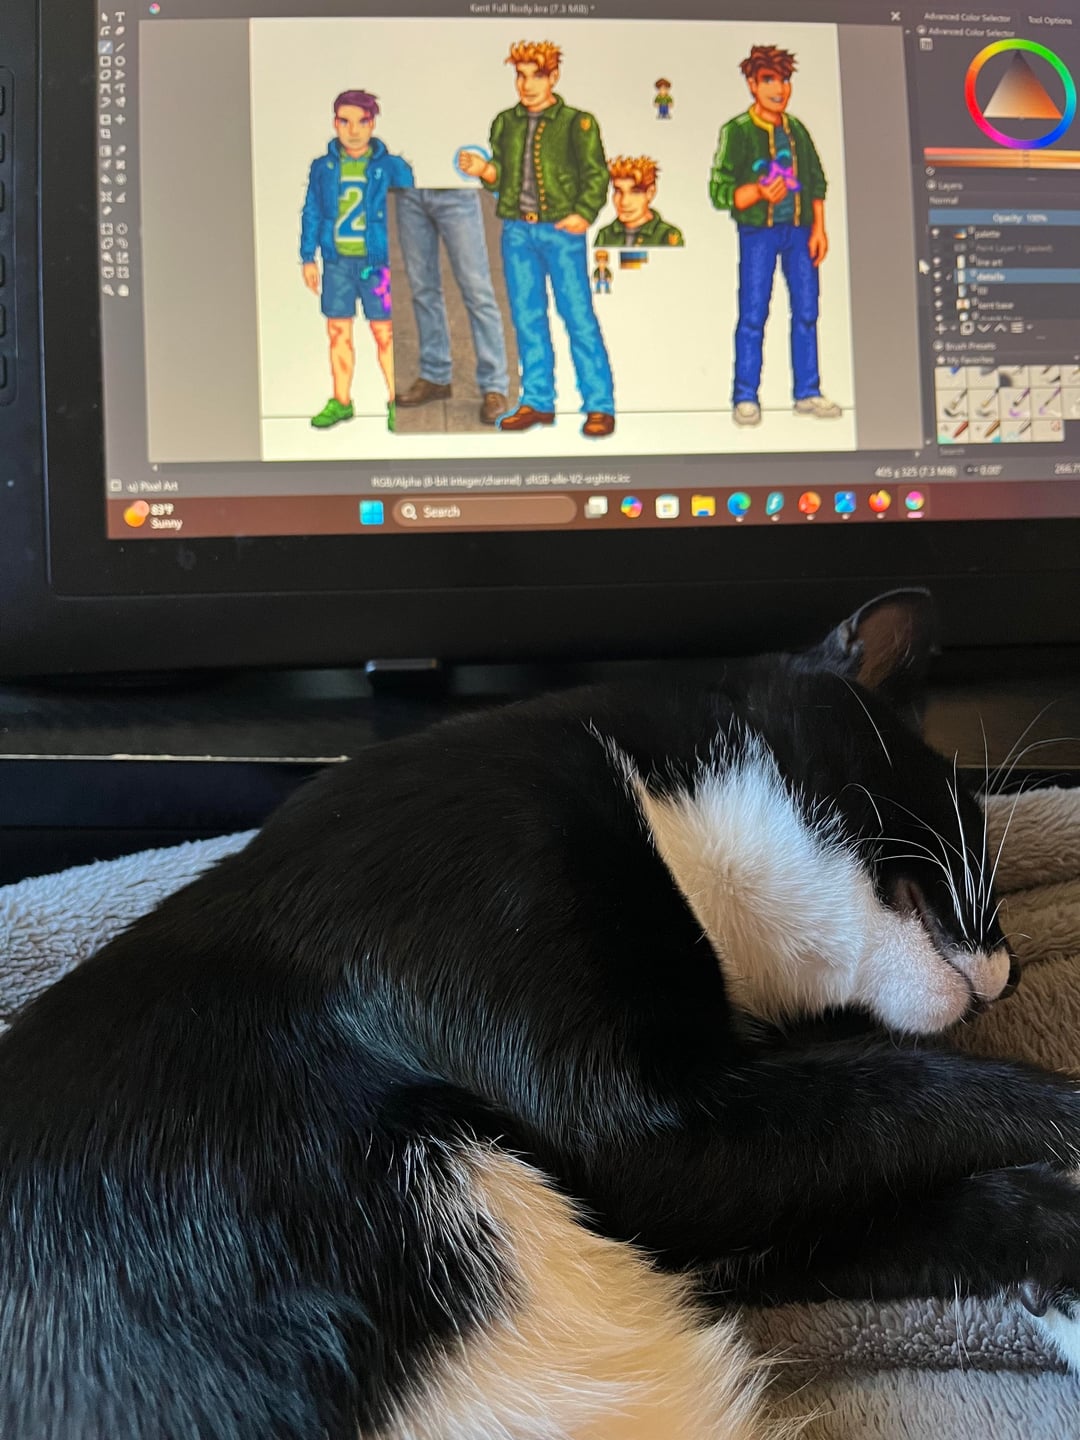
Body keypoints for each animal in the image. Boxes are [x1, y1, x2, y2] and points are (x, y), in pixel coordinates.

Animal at [2, 587, 1080, 1440]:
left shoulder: (706, 1217)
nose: (1014, 965)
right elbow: (923, 1091)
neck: (670, 822)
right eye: (970, 808)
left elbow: (886, 1193)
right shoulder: (635, 1109)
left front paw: (1052, 1243)